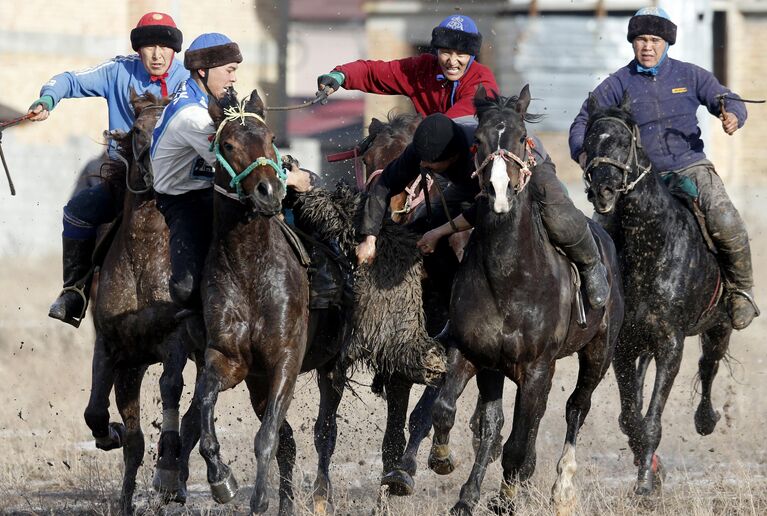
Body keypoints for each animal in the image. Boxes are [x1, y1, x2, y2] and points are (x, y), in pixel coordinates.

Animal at [86, 90, 206, 512]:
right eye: (138, 130)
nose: (156, 171)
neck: (144, 252)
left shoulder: (175, 340)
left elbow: (171, 387)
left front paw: (167, 471)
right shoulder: (115, 348)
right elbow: (101, 413)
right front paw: (112, 434)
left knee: (193, 415)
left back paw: (176, 478)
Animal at [426, 85, 624, 516]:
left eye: (521, 138)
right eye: (479, 141)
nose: (499, 193)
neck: (510, 278)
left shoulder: (536, 369)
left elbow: (517, 444)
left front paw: (505, 499)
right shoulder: (473, 353)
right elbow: (454, 413)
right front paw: (446, 464)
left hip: (598, 353)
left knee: (576, 408)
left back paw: (561, 488)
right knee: (499, 425)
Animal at [584, 93, 740, 496]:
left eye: (624, 140)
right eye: (589, 141)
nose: (603, 191)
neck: (650, 246)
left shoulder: (671, 342)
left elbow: (651, 416)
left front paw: (644, 483)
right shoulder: (625, 344)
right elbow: (630, 415)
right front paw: (648, 467)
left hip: (719, 325)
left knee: (709, 365)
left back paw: (706, 419)